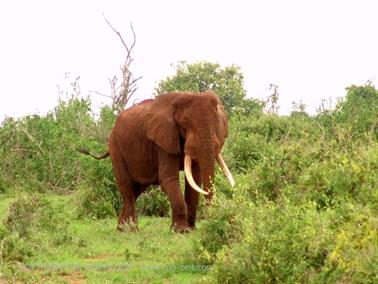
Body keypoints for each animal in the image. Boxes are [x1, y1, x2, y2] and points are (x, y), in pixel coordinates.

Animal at [79, 91, 233, 233]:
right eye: (184, 123)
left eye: (217, 124)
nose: (212, 220)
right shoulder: (163, 140)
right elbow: (169, 179)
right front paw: (181, 231)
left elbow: (194, 180)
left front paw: (191, 230)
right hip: (116, 148)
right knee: (127, 187)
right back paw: (131, 231)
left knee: (136, 189)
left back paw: (121, 229)